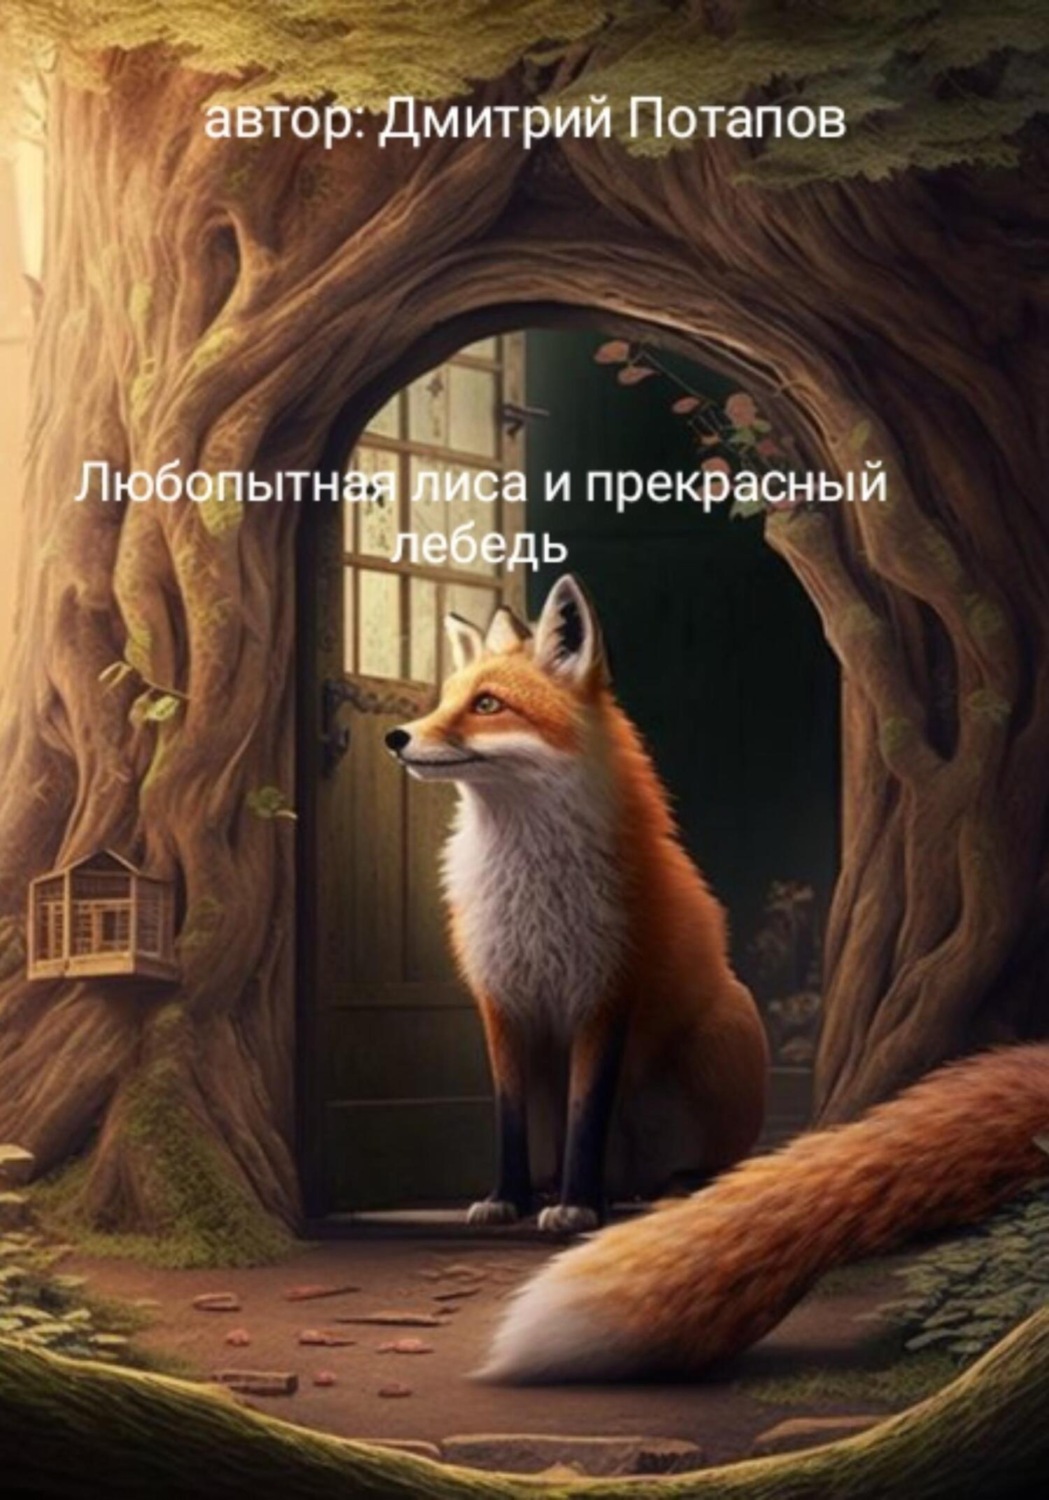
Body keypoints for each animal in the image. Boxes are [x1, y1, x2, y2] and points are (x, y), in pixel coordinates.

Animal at [384, 573, 768, 1234]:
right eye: (446, 698)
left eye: (487, 704)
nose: (396, 738)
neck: (532, 891)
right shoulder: (501, 998)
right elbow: (509, 1115)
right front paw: (509, 1197)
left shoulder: (607, 991)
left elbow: (586, 1115)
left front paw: (577, 1204)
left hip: (718, 1040)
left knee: (706, 1168)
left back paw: (651, 1192)